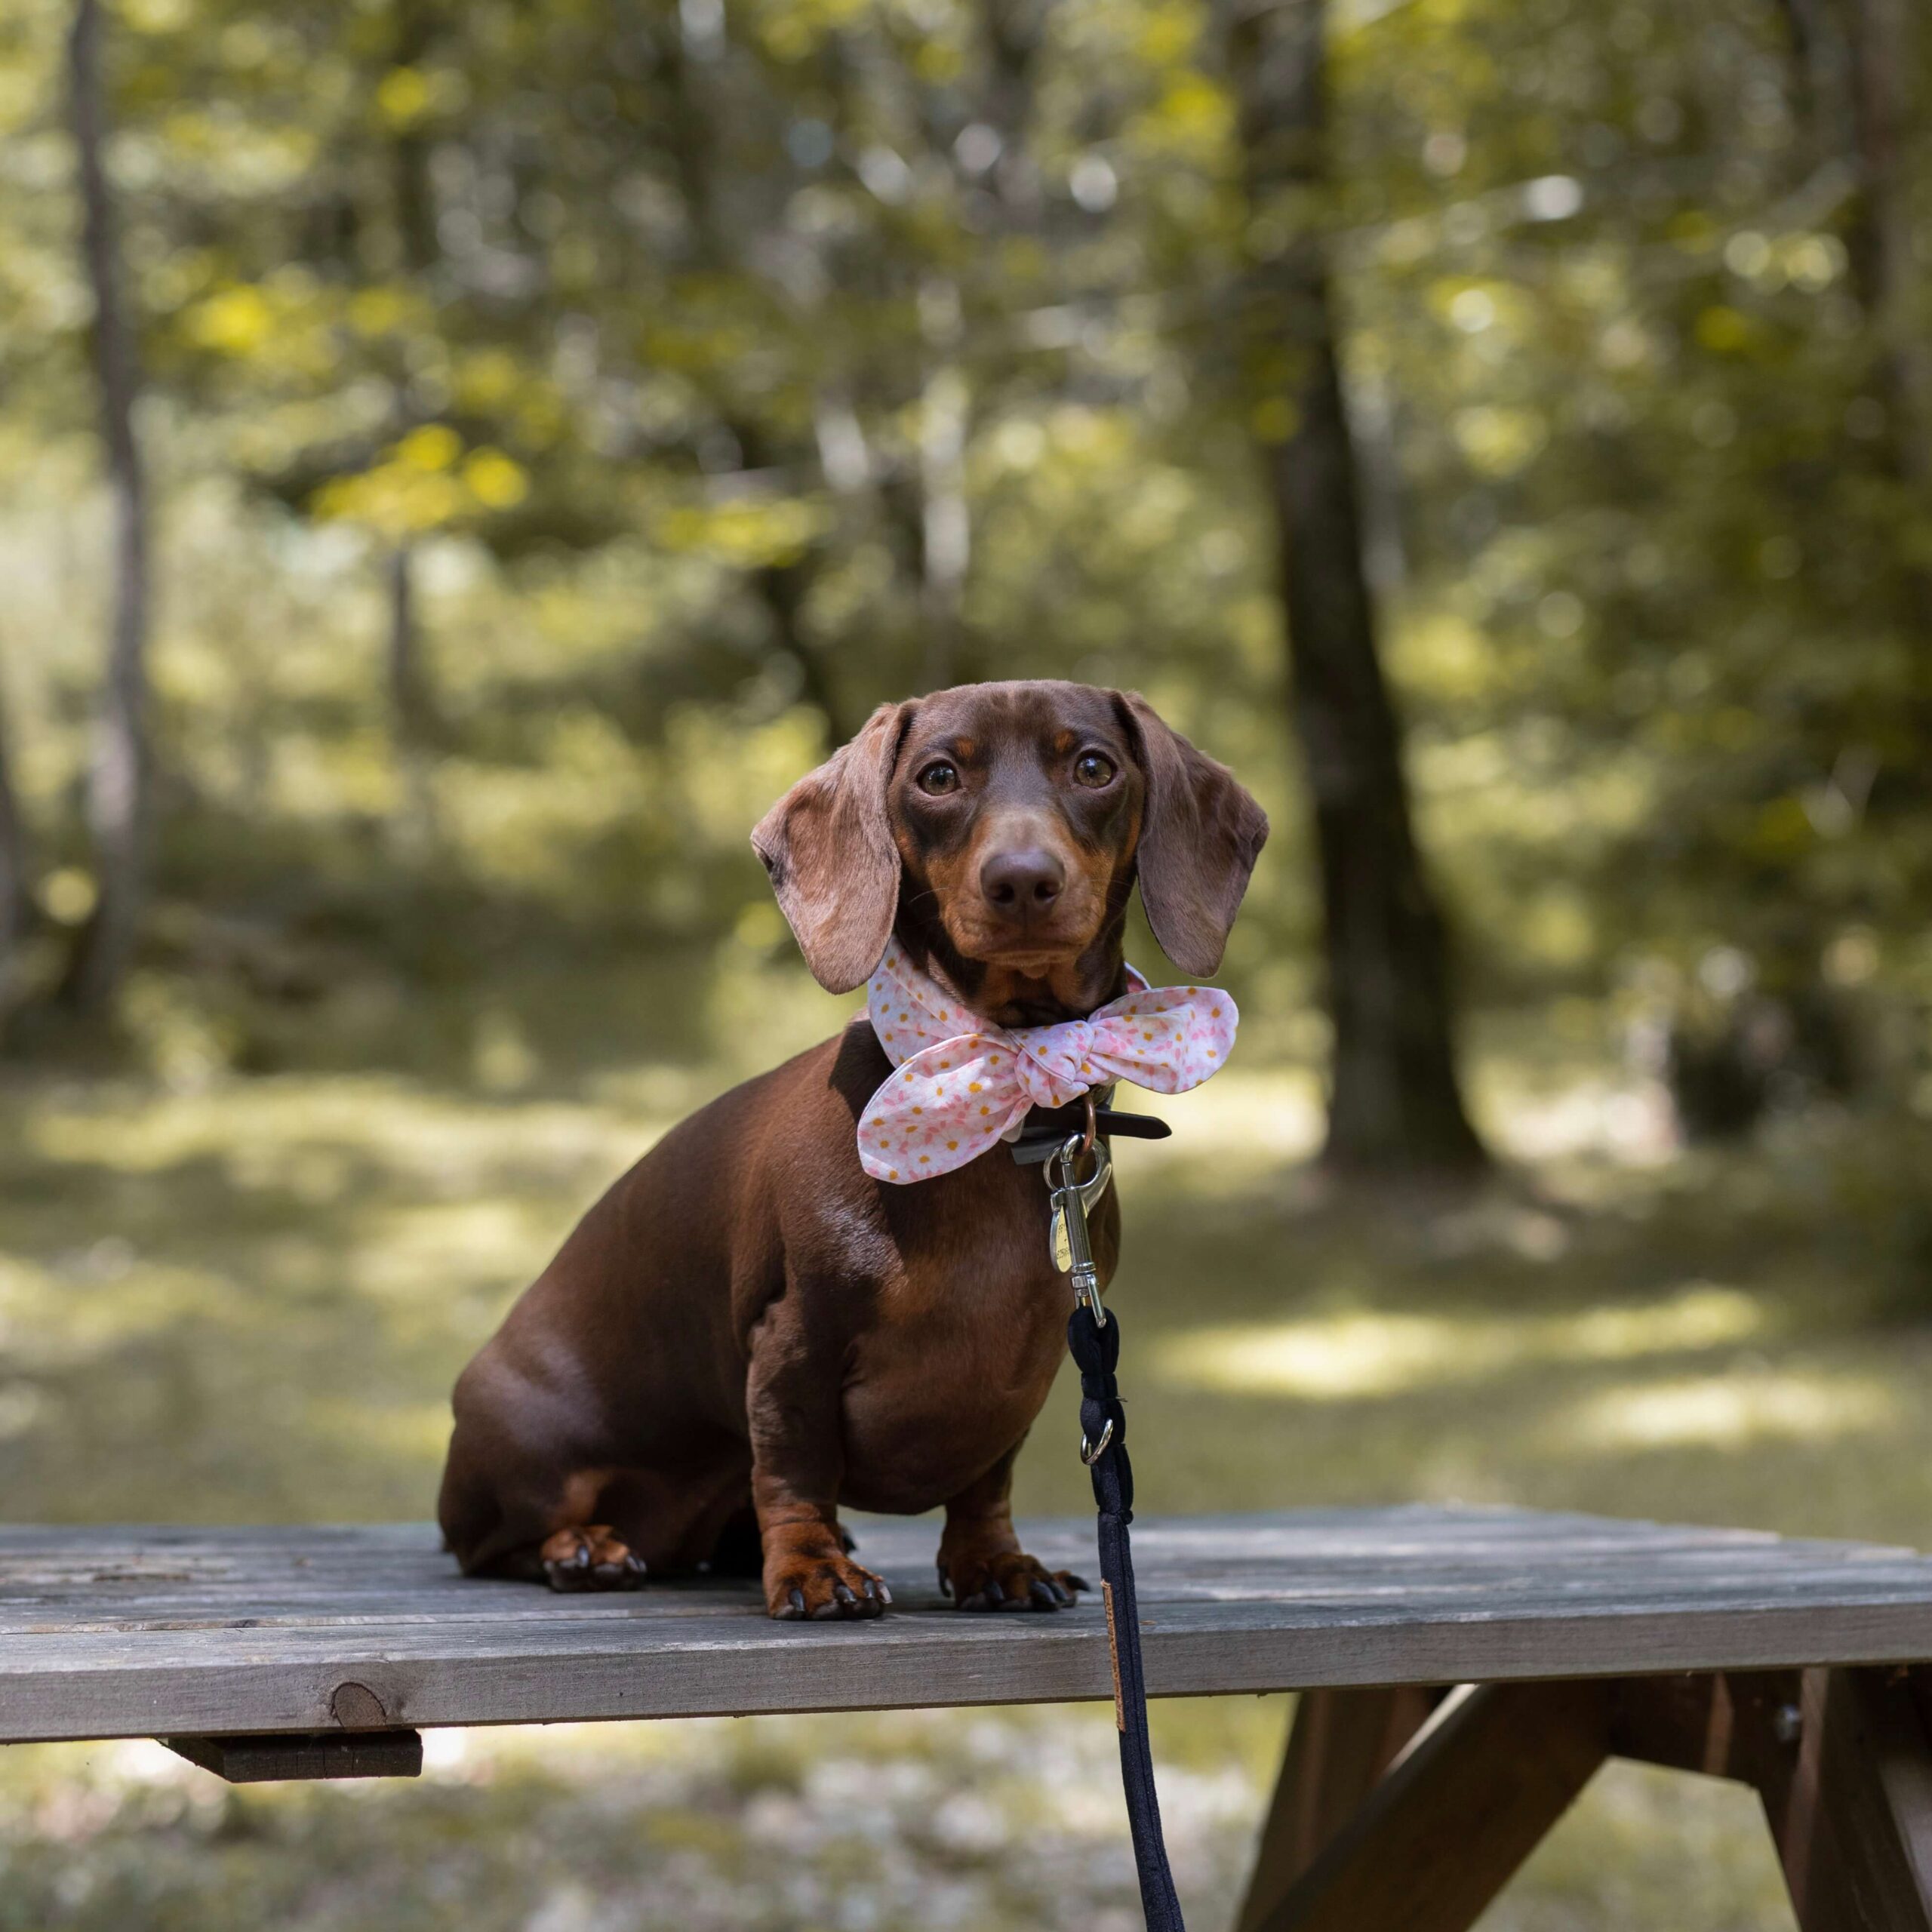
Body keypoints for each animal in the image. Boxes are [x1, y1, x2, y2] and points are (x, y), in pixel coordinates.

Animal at [437, 680, 1267, 1620]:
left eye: (1094, 766)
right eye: (938, 776)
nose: (1022, 880)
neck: (1001, 1095)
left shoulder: (1022, 1377)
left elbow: (985, 1483)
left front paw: (995, 1563)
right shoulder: (792, 1343)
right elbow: (795, 1471)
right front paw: (812, 1568)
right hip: (530, 1456)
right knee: (491, 1543)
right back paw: (583, 1548)